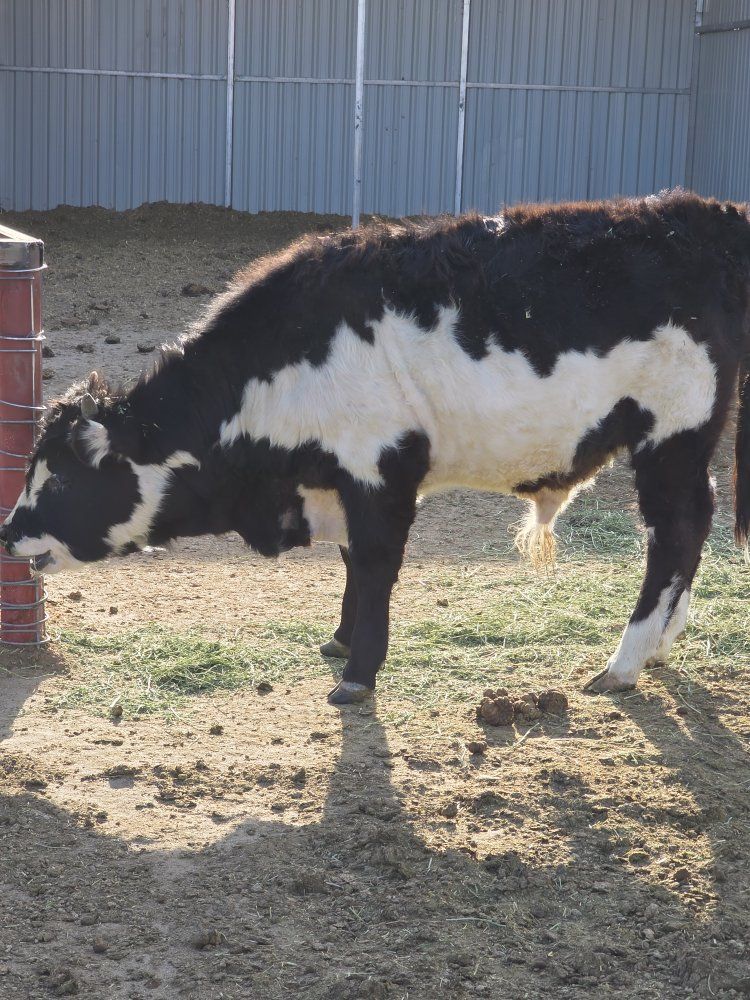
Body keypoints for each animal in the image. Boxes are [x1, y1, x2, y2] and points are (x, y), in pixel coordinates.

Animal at [1, 190, 749, 704]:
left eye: (58, 481)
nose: (9, 533)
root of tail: (700, 214)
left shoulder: (381, 471)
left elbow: (376, 563)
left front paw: (359, 674)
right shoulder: (341, 479)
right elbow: (352, 564)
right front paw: (339, 640)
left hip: (672, 434)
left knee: (675, 531)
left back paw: (624, 662)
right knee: (696, 524)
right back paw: (660, 647)